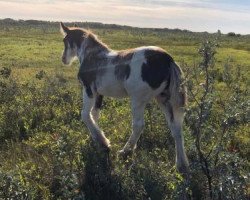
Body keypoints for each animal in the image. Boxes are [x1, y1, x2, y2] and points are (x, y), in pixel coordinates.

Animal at [60, 21, 188, 173]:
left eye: (65, 40)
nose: (63, 59)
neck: (93, 56)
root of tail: (168, 59)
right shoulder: (99, 94)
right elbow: (94, 115)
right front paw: (96, 140)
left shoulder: (88, 90)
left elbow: (85, 115)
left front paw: (104, 143)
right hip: (163, 99)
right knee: (176, 127)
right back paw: (181, 165)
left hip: (138, 99)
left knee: (138, 125)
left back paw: (125, 151)